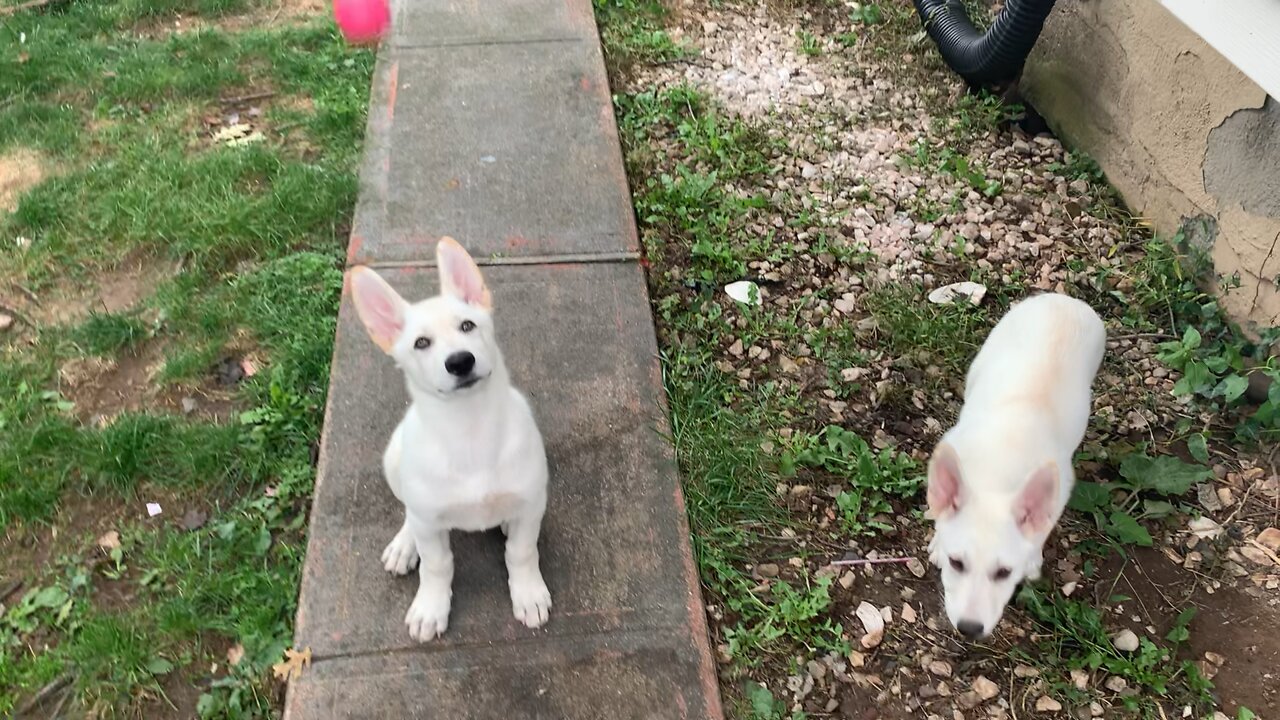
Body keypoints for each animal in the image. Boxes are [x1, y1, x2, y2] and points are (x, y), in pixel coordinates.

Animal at [350, 238, 550, 640]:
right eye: (421, 343)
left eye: (468, 325)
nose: (460, 361)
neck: (469, 430)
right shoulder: (429, 524)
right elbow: (437, 564)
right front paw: (430, 607)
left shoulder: (532, 500)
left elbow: (521, 552)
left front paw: (529, 593)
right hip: (393, 462)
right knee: (409, 511)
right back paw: (404, 545)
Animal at [926, 292, 1105, 638]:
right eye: (956, 563)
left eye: (1004, 573)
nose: (969, 629)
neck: (998, 470)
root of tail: (1063, 299)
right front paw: (939, 541)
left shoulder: (1060, 489)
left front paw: (1032, 558)